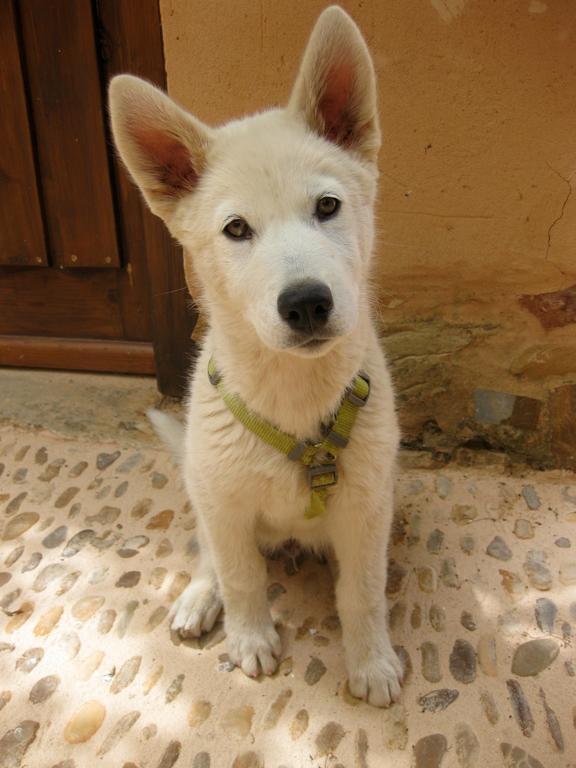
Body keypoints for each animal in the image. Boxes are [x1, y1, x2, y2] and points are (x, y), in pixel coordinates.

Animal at [110, 4, 402, 708]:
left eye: (328, 206)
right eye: (236, 229)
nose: (306, 304)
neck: (294, 394)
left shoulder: (367, 508)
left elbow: (363, 592)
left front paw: (370, 660)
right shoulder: (223, 500)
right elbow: (240, 573)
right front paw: (247, 637)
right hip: (204, 485)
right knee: (212, 554)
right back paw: (199, 597)